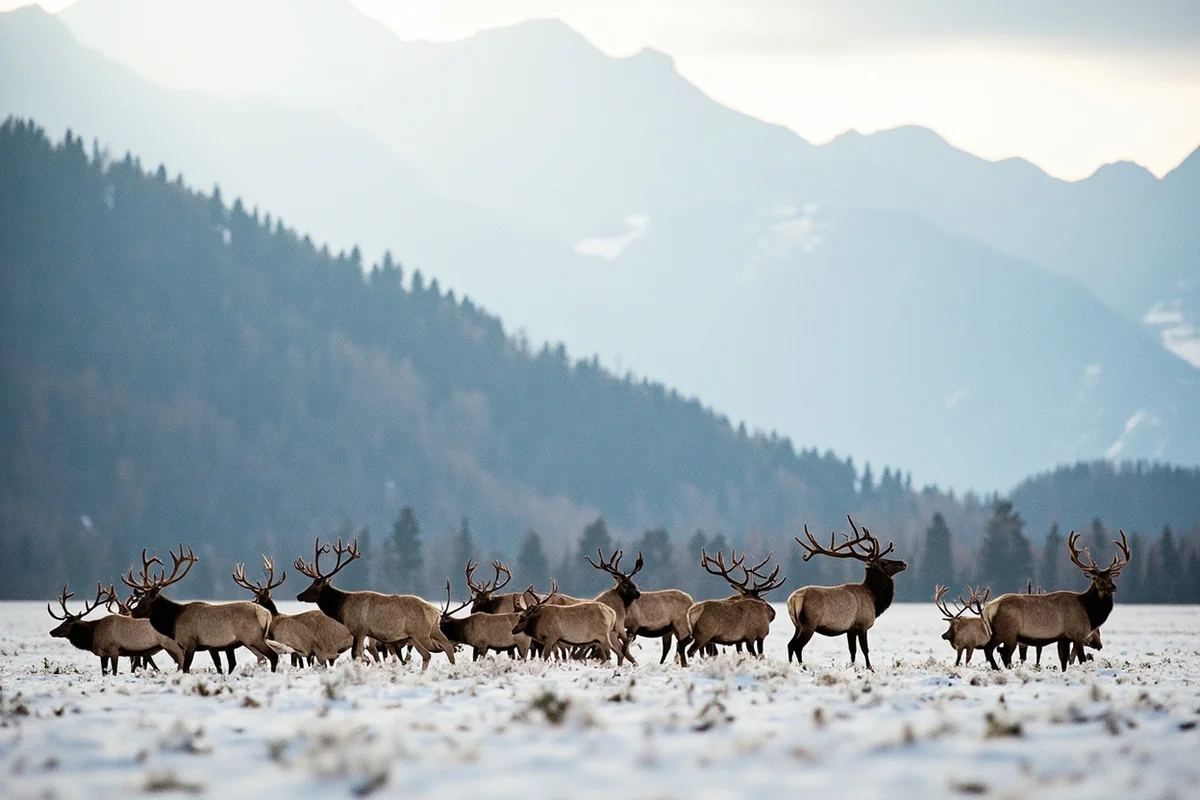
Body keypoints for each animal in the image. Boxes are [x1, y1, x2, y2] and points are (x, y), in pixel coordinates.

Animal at [48, 583, 184, 674]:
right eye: (63, 622)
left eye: (67, 623)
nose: (51, 631)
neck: (93, 636)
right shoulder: (103, 654)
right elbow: (104, 672)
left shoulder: (114, 649)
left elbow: (114, 671)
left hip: (171, 645)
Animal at [123, 544, 283, 673]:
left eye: (144, 600)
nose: (133, 612)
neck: (173, 622)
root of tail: (267, 614)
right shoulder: (211, 646)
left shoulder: (190, 641)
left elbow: (186, 667)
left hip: (253, 637)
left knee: (273, 655)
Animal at [294, 537, 455, 671]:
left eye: (316, 584)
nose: (299, 595)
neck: (341, 609)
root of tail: (435, 611)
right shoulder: (363, 633)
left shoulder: (359, 629)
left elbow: (356, 655)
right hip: (428, 632)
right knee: (439, 649)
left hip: (421, 633)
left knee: (439, 649)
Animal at [786, 516, 907, 670]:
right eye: (884, 562)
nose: (903, 563)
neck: (874, 599)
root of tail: (794, 599)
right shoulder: (862, 624)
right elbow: (865, 649)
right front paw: (870, 668)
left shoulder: (850, 629)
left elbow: (852, 651)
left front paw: (853, 667)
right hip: (809, 623)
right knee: (797, 646)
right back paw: (803, 667)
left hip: (796, 624)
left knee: (790, 644)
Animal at [982, 530, 1129, 671]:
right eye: (1098, 580)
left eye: (1110, 578)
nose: (1113, 587)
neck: (1089, 612)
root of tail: (988, 609)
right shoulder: (1077, 634)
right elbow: (1081, 659)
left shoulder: (1064, 637)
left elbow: (1064, 661)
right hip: (1009, 633)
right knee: (1004, 654)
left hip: (997, 633)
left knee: (988, 649)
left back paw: (996, 669)